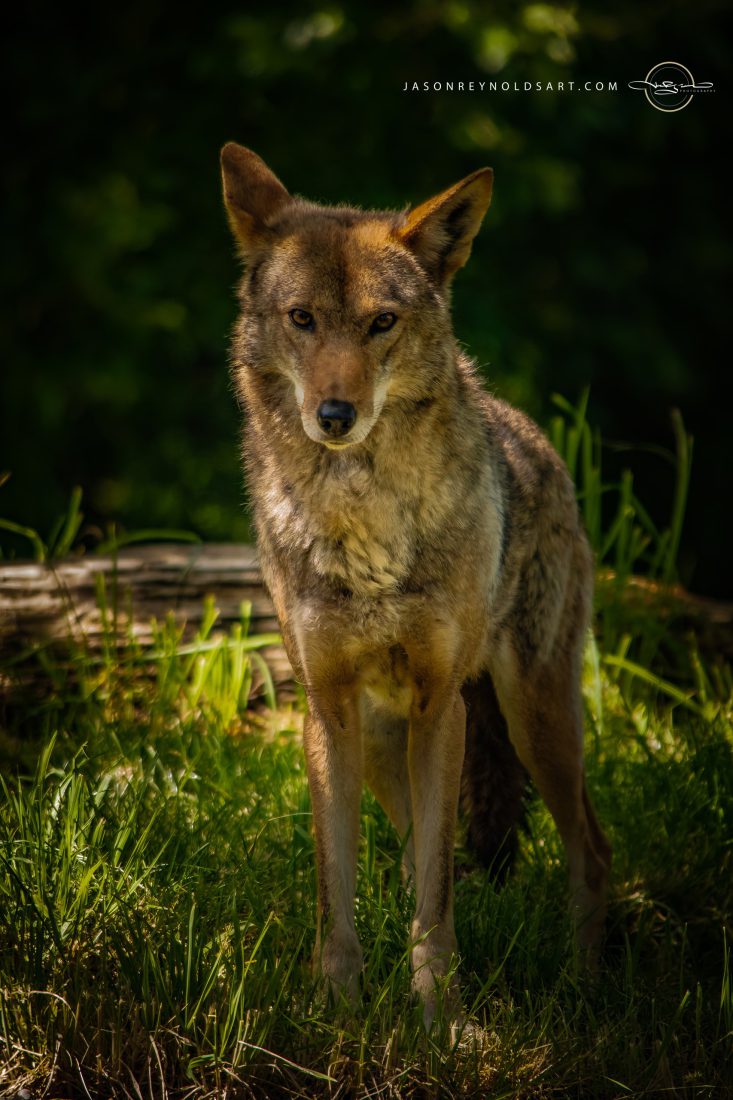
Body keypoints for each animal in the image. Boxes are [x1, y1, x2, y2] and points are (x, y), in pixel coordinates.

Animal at [220, 143, 612, 1027]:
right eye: (302, 319)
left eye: (381, 323)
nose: (334, 415)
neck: (362, 519)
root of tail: (533, 436)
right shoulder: (327, 713)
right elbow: (339, 889)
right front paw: (337, 1010)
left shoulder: (442, 708)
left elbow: (435, 896)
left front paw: (442, 1020)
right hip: (382, 739)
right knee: (408, 857)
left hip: (532, 717)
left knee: (589, 847)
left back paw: (591, 986)